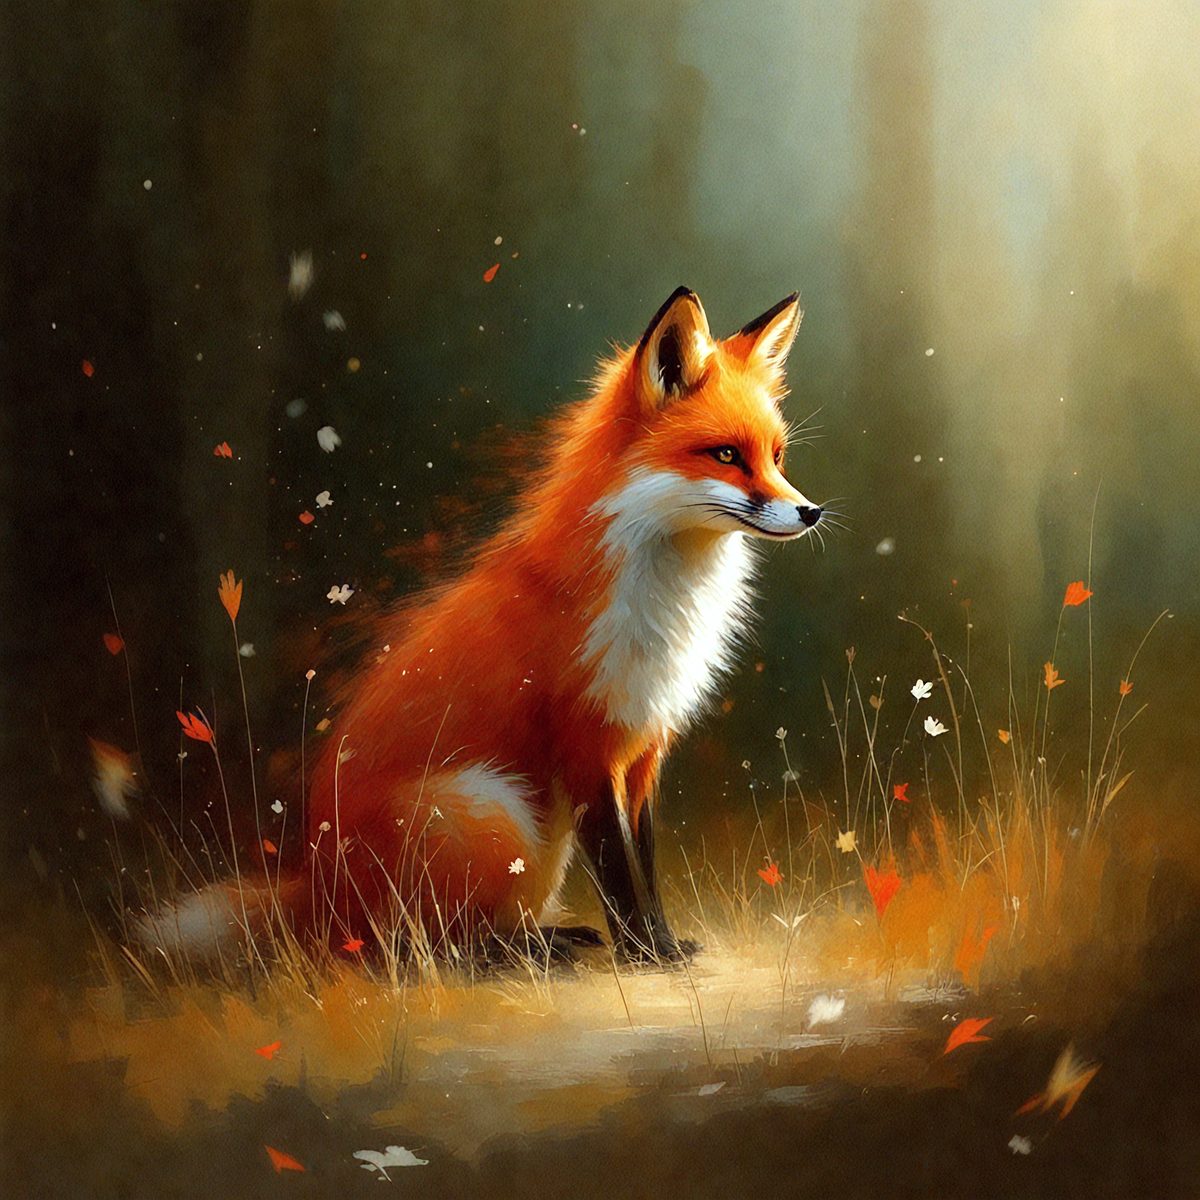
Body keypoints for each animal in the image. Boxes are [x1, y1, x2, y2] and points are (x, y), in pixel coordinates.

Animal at [139, 287, 824, 964]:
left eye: (777, 456)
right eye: (727, 455)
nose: (811, 512)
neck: (663, 594)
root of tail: (315, 888)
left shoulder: (643, 747)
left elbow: (646, 864)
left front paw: (661, 942)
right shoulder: (586, 747)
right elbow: (619, 873)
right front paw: (644, 955)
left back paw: (544, 938)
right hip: (500, 816)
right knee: (418, 948)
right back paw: (525, 952)